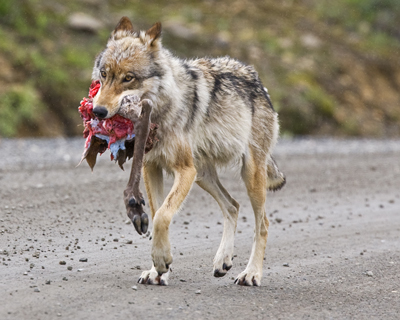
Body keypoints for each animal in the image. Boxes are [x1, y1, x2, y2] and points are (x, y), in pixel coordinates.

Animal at [91, 16, 284, 286]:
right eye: (104, 74)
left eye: (128, 78)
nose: (97, 111)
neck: (161, 111)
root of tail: (257, 80)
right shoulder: (152, 167)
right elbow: (157, 212)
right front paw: (156, 271)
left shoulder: (184, 170)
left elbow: (162, 216)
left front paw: (161, 261)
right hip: (203, 175)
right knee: (233, 206)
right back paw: (223, 261)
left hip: (248, 175)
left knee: (263, 222)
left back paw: (251, 273)